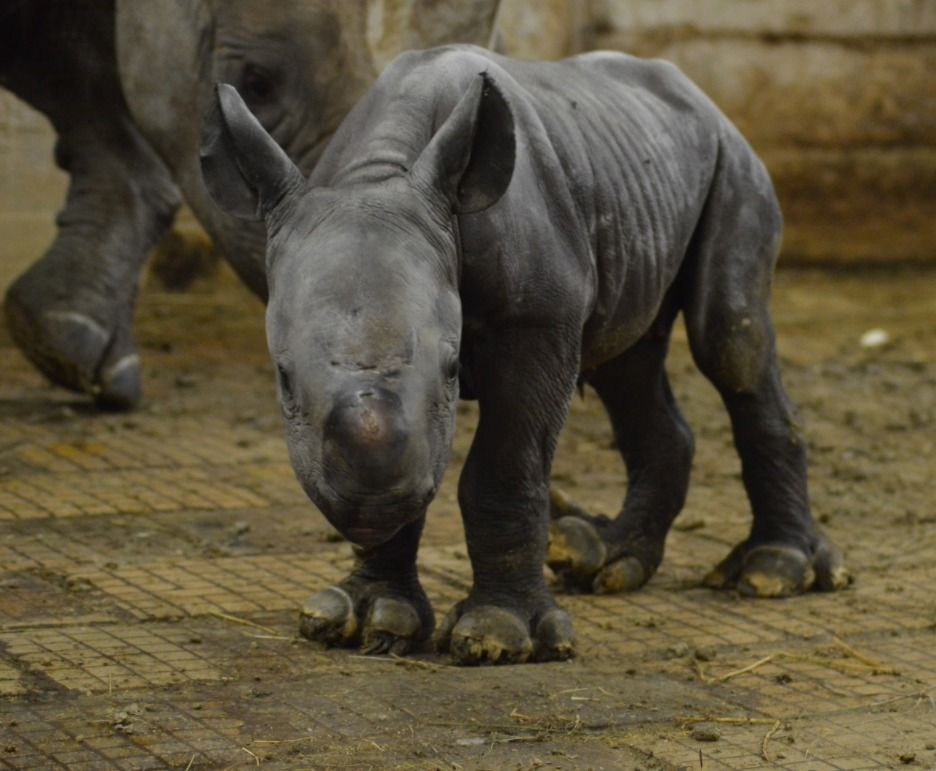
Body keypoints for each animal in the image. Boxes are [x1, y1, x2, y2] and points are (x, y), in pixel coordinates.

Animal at [199, 45, 848, 668]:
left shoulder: (538, 319)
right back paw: (606, 561)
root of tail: (703, 96)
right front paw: (370, 618)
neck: (381, 173)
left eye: (452, 371)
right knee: (627, 366)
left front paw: (499, 635)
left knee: (730, 340)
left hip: (733, 161)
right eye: (283, 379)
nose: (370, 500)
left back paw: (772, 572)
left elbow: (504, 467)